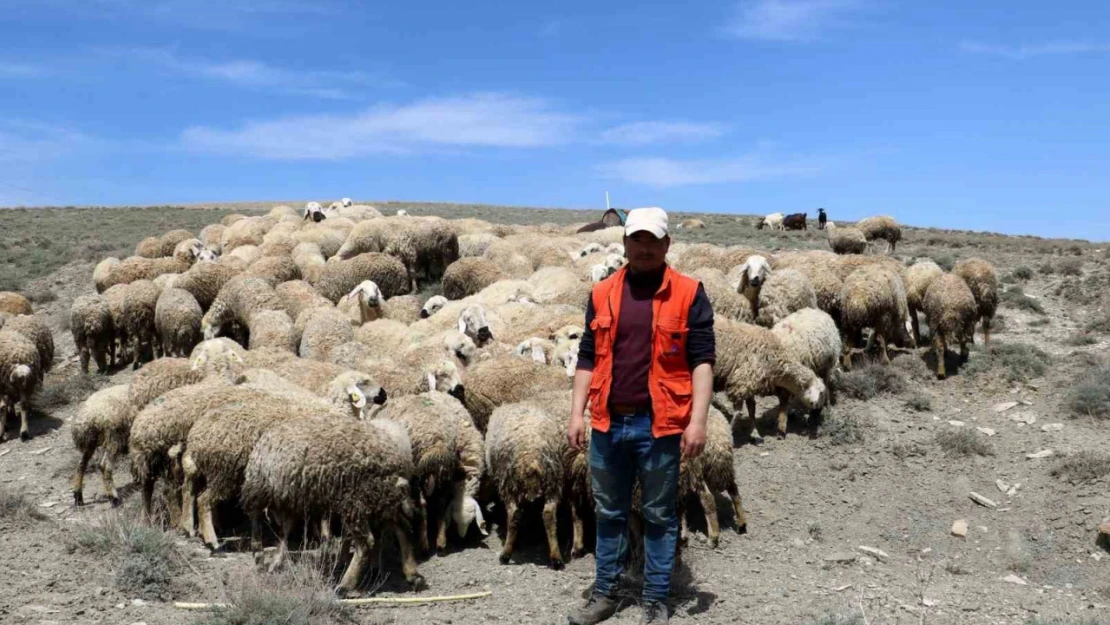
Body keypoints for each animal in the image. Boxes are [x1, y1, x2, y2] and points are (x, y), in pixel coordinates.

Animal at [240, 415, 421, 590]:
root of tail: (393, 460)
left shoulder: (260, 488)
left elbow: (259, 522)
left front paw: (259, 556)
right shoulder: (289, 498)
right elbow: (284, 531)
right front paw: (276, 561)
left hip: (356, 499)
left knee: (365, 542)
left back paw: (345, 585)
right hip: (381, 497)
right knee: (402, 526)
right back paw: (412, 574)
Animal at [488, 399, 572, 568]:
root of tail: (531, 455)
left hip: (509, 482)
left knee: (514, 515)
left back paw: (506, 554)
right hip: (553, 480)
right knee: (549, 515)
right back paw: (556, 558)